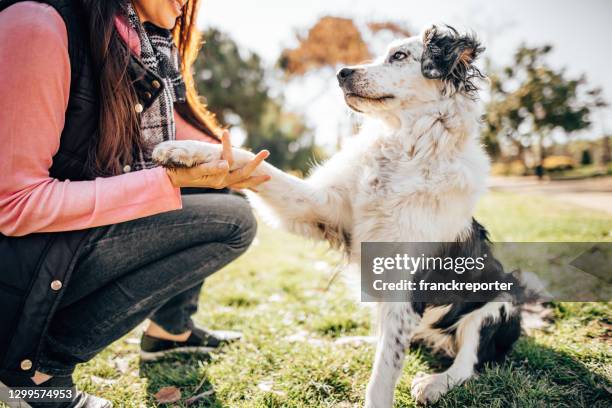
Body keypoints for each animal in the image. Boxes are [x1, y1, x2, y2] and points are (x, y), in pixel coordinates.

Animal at [151, 27, 524, 406]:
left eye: (399, 56)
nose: (342, 73)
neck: (405, 147)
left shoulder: (406, 284)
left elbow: (385, 369)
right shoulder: (322, 207)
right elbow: (255, 162)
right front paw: (187, 151)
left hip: (501, 302)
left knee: (468, 362)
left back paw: (434, 383)